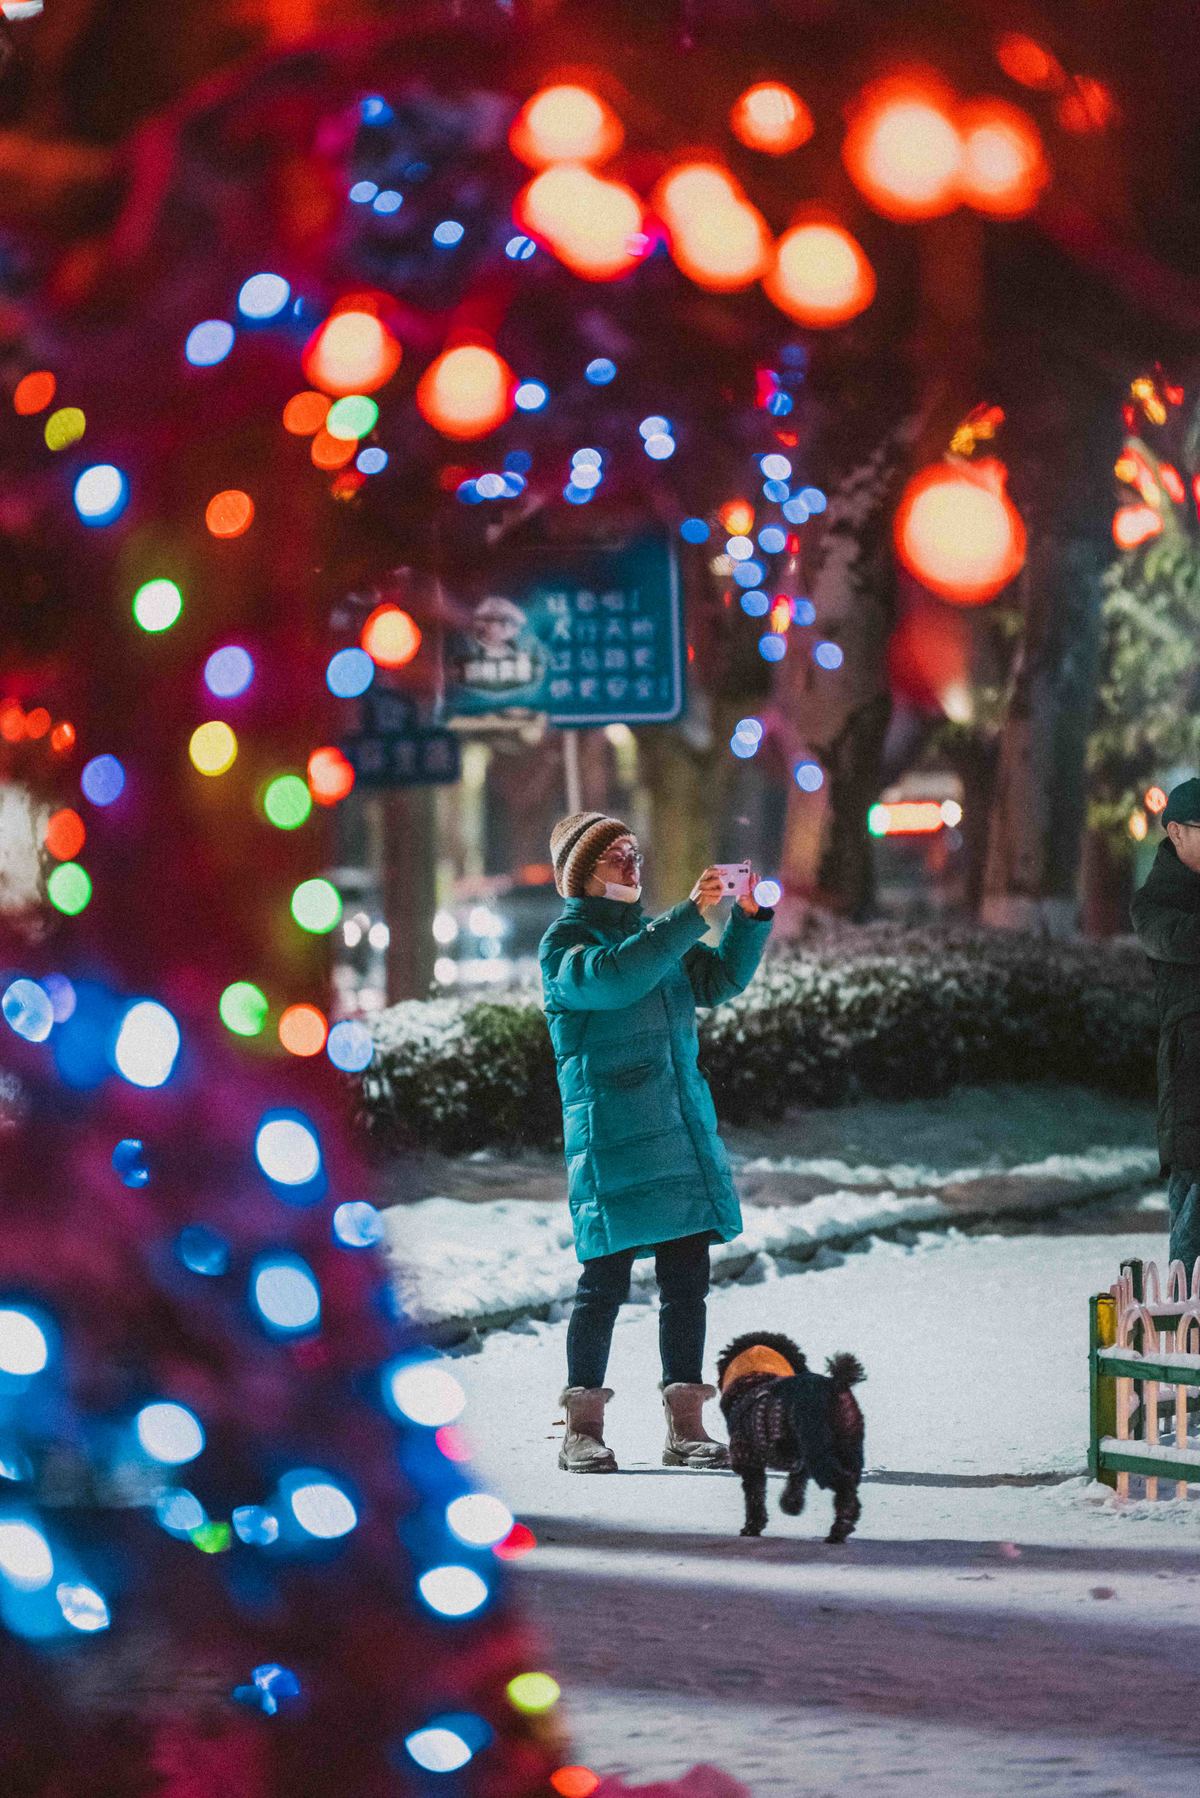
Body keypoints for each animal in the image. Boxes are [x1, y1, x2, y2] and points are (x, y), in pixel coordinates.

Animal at [723, 1330, 863, 1539]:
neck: (755, 1377)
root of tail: (835, 1386)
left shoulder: (747, 1457)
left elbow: (755, 1496)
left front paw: (752, 1527)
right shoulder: (798, 1458)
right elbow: (796, 1481)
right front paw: (791, 1504)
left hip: (819, 1449)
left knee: (844, 1483)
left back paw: (840, 1528)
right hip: (848, 1446)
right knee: (851, 1481)